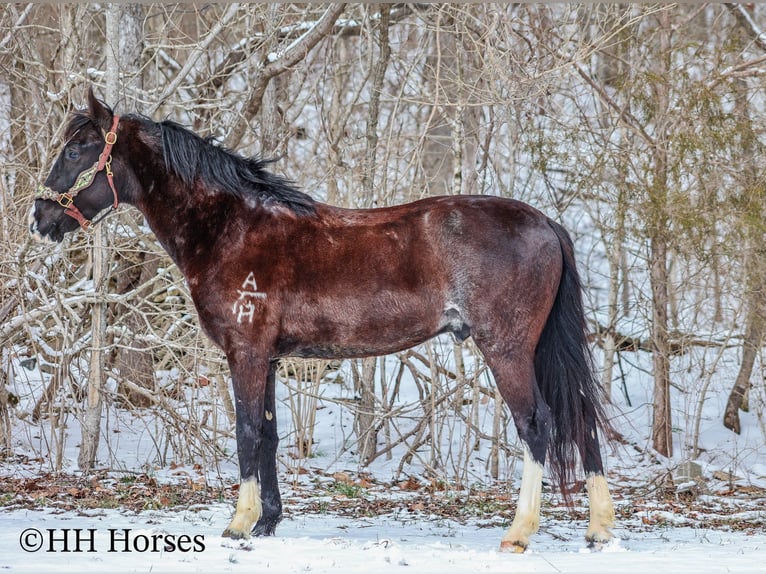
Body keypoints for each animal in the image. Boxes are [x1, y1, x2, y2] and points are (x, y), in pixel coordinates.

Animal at [29, 88, 615, 552]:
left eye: (76, 148)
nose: (39, 217)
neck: (231, 228)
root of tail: (545, 223)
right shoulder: (266, 358)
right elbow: (267, 434)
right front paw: (266, 522)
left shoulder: (245, 353)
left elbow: (246, 431)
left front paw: (238, 523)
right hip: (537, 350)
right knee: (581, 420)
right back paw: (599, 528)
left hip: (507, 349)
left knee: (538, 424)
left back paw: (519, 532)